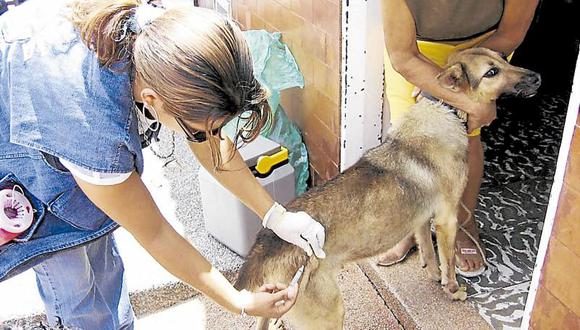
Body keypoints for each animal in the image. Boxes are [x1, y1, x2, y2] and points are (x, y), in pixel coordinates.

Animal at [234, 47, 540, 330]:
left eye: (502, 57)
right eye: (491, 72)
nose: (537, 77)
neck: (443, 106)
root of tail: (260, 251)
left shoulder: (421, 217)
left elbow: (428, 250)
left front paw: (433, 275)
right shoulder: (447, 218)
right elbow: (448, 261)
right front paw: (452, 290)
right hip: (329, 313)